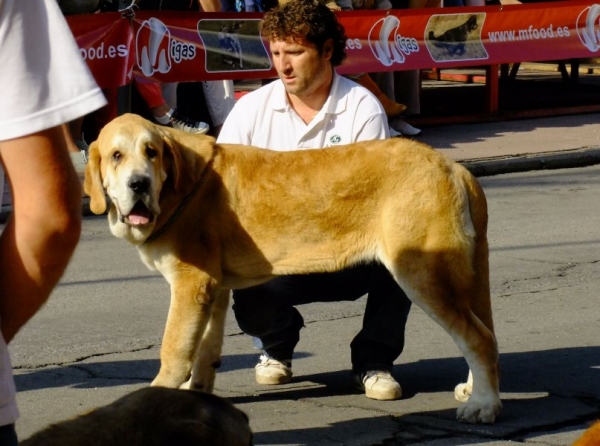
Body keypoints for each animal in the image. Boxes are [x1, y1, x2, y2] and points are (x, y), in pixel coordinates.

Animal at [85, 113, 502, 424]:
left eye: (151, 152)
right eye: (116, 155)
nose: (139, 184)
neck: (182, 185)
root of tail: (452, 166)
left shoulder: (190, 286)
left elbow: (173, 350)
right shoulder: (212, 290)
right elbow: (204, 352)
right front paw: (197, 398)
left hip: (420, 271)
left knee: (477, 337)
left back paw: (483, 406)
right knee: (483, 332)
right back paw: (475, 391)